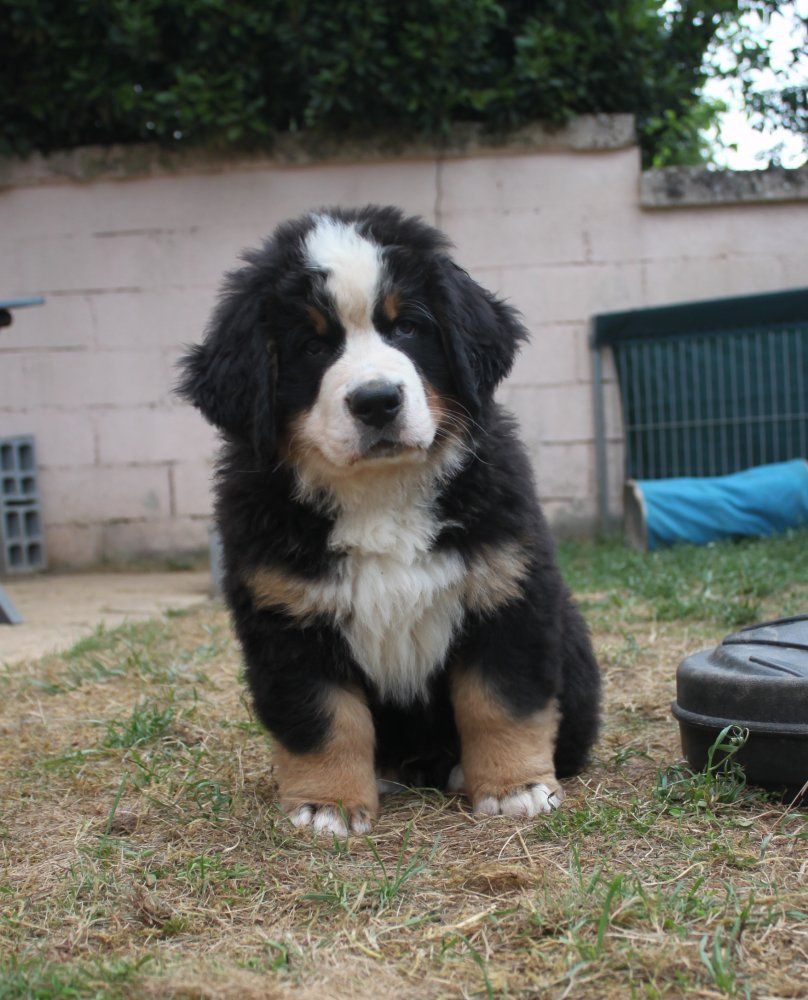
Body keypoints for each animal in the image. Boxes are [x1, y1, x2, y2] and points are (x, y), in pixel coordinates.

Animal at [179, 205, 600, 836]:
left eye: (406, 329)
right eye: (312, 346)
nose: (376, 400)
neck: (380, 495)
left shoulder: (504, 590)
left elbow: (499, 700)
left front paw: (514, 788)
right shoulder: (288, 619)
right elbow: (323, 718)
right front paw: (326, 804)